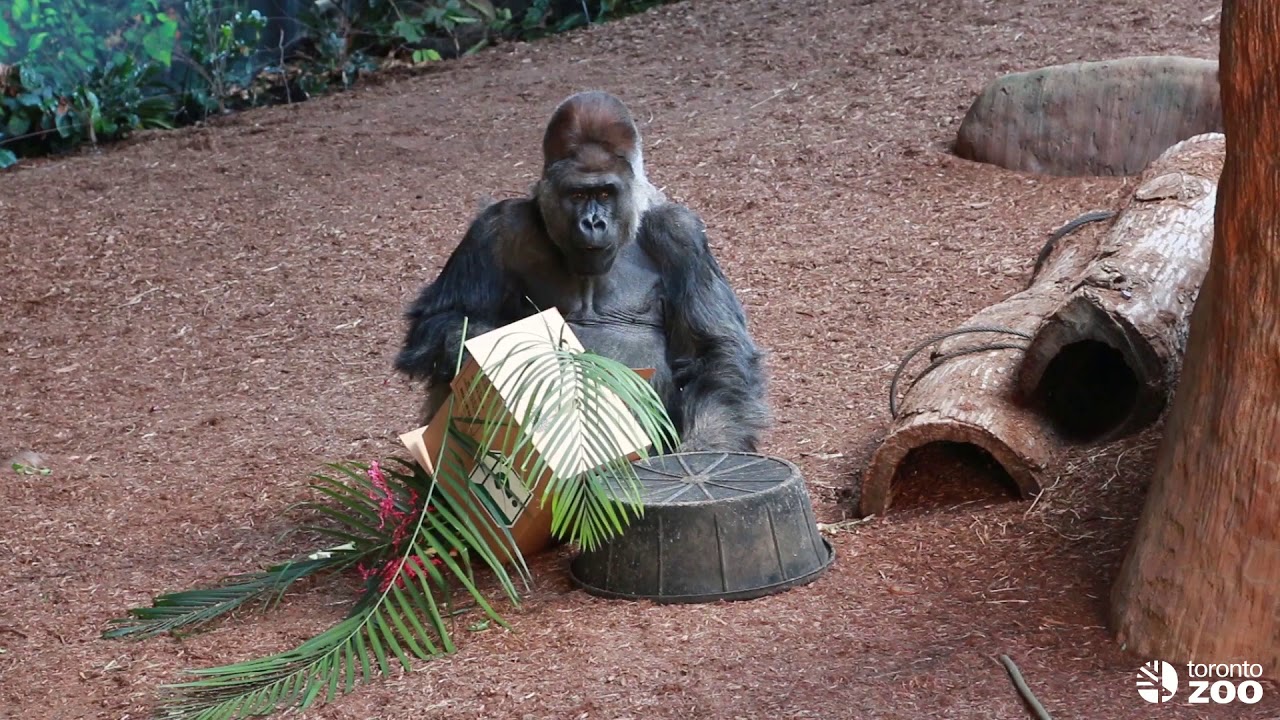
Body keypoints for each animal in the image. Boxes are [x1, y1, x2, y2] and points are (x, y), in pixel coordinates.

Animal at [394, 91, 770, 453]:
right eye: (576, 194)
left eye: (604, 192)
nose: (592, 223)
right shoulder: (495, 229)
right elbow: (443, 318)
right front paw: (493, 342)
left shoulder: (682, 235)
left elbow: (714, 351)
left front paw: (708, 442)